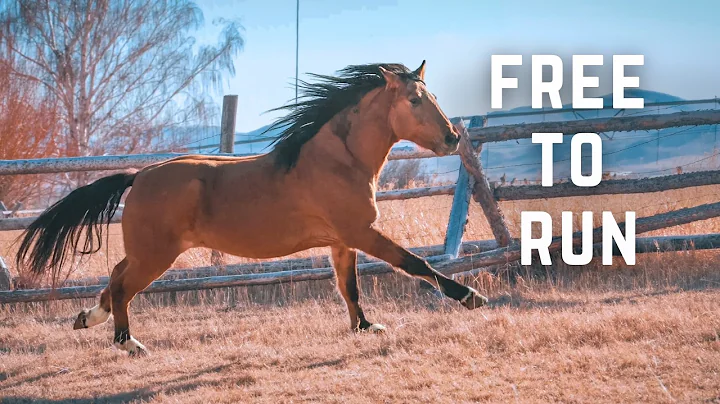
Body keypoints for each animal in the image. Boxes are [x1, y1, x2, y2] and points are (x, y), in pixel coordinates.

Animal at [15, 61, 488, 356]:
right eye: (414, 100)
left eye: (430, 95)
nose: (451, 138)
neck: (338, 159)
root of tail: (140, 175)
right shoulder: (362, 232)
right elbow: (415, 264)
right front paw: (471, 297)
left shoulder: (342, 240)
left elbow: (349, 287)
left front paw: (365, 327)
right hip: (156, 255)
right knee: (121, 287)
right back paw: (129, 343)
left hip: (145, 252)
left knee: (113, 279)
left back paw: (86, 319)